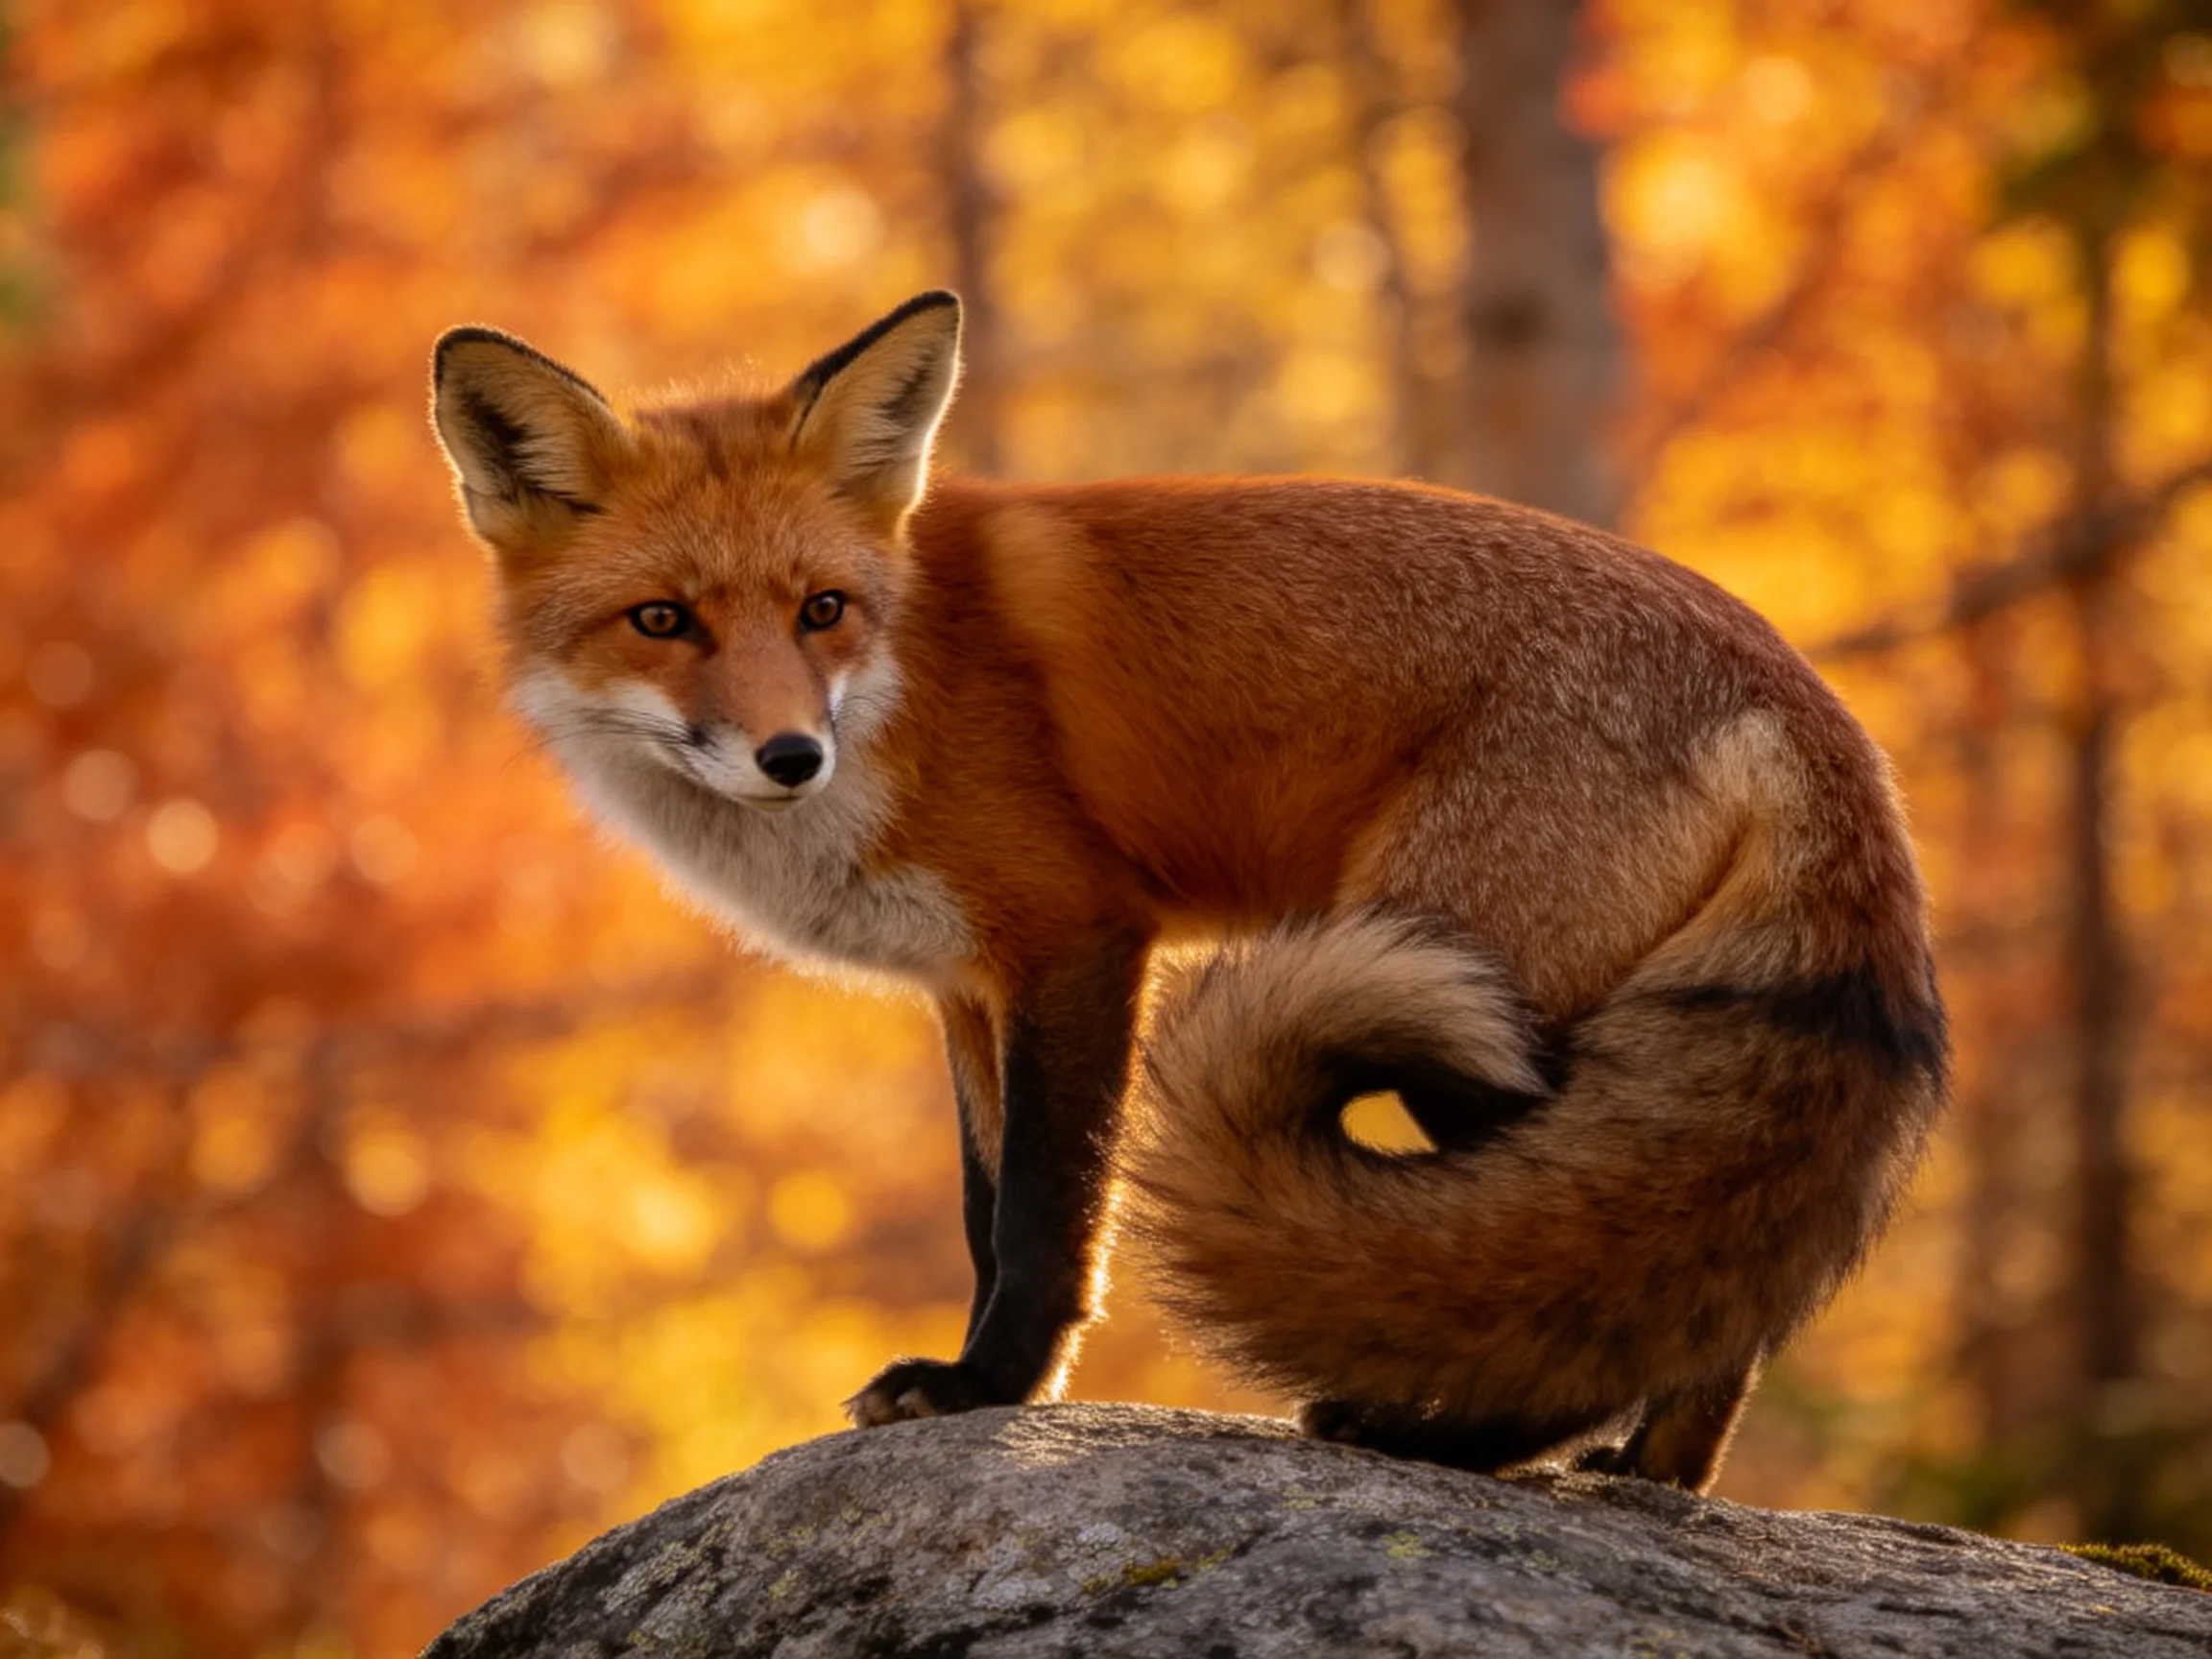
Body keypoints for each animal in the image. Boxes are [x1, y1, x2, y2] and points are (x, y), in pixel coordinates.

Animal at [429, 291, 1945, 1492]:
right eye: (663, 621)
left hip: (1481, 1011)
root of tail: (1802, 689)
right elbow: (983, 1211)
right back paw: (1648, 1477)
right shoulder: (967, 990)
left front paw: (987, 1390)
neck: (909, 679)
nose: (790, 755)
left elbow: (1045, 1217)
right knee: (1711, 1299)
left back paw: (1455, 1442)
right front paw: (986, 1388)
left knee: (1597, 1275)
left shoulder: (1078, 941)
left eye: (821, 611)